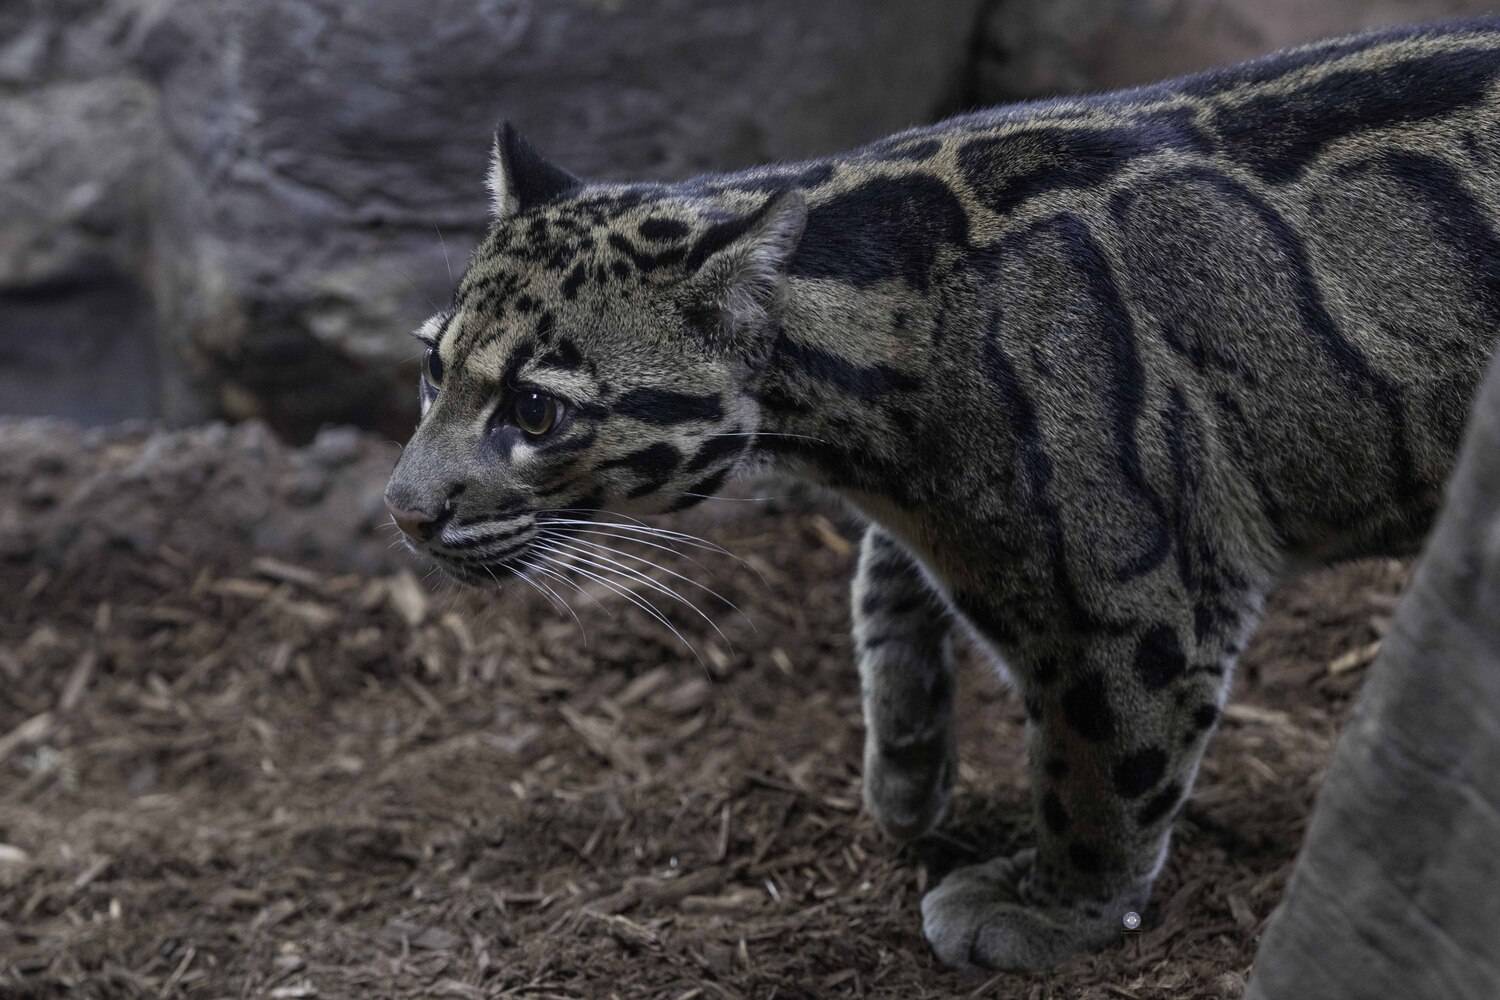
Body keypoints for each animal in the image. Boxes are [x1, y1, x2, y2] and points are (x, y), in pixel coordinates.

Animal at [383, 18, 1500, 970]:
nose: (402, 508)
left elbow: (1104, 758)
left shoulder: (1131, 597)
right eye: (434, 368)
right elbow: (884, 582)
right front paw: (908, 762)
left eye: (535, 412)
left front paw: (1057, 906)